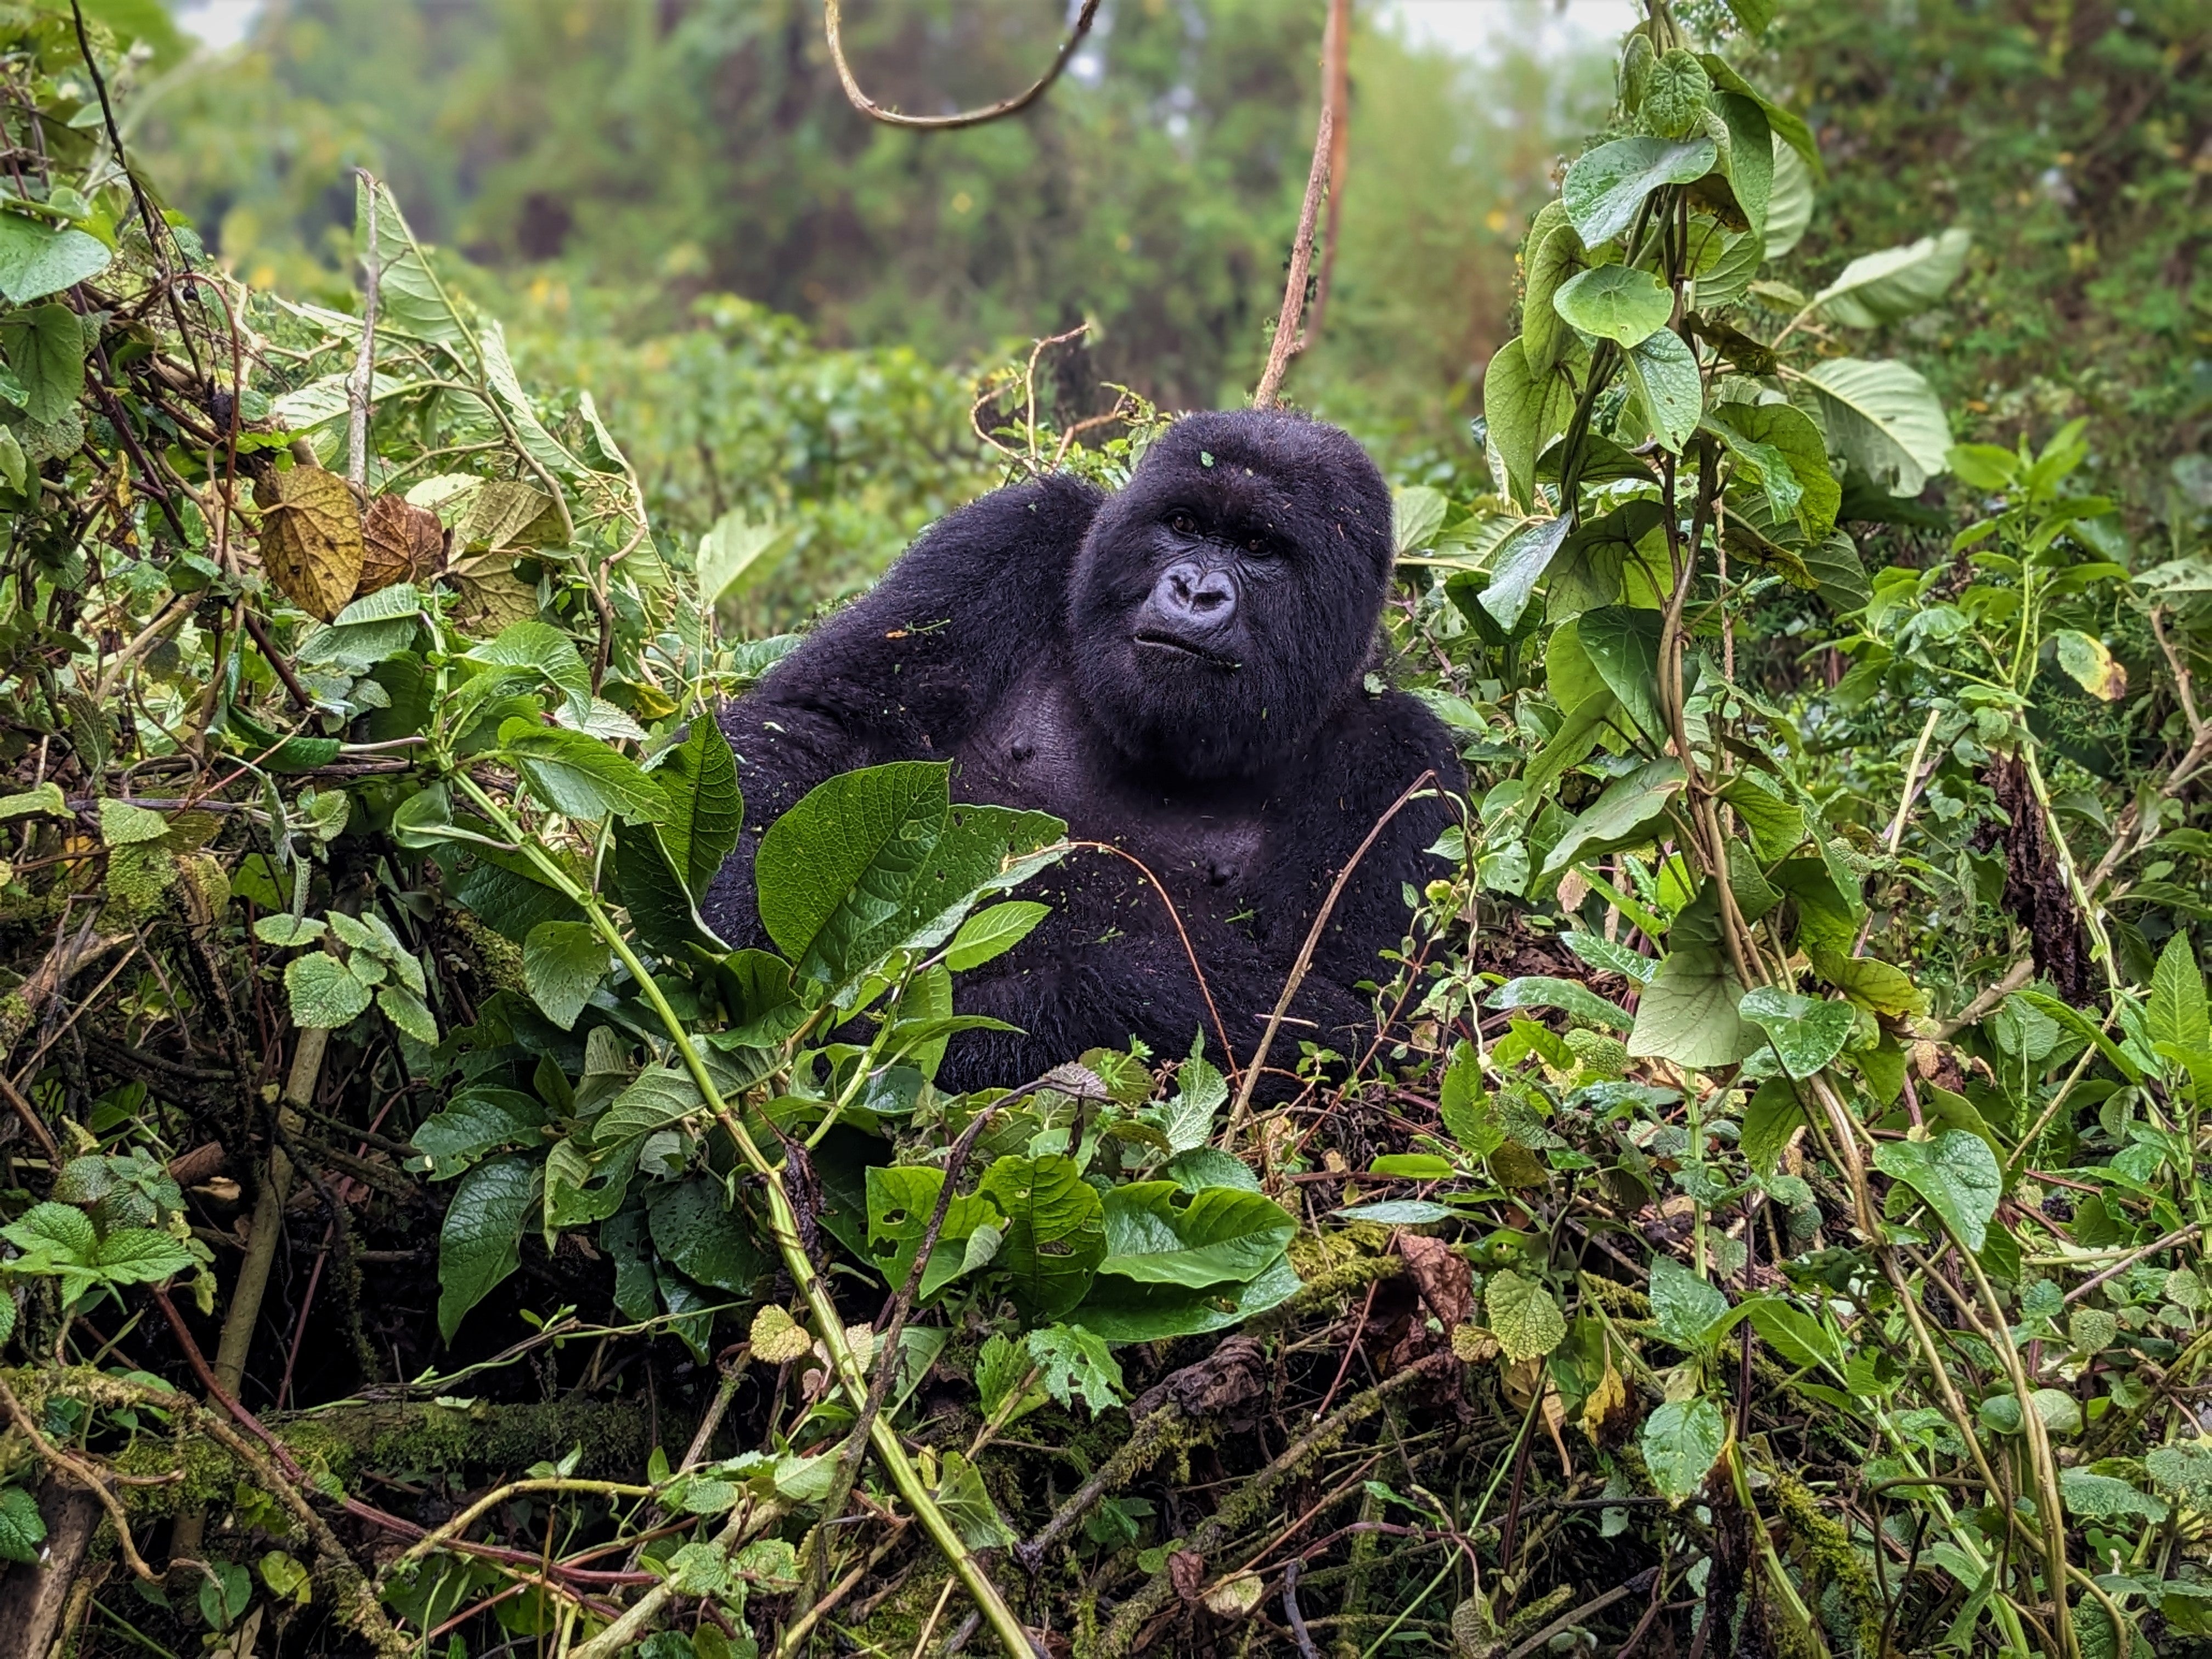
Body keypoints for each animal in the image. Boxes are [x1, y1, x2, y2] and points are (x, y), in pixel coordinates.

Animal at [703, 409, 1469, 1097]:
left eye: (1259, 547)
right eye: (1183, 526)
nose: (1195, 590)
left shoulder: (1402, 764)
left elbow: (1352, 1027)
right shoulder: (1020, 530)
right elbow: (823, 727)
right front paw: (742, 901)